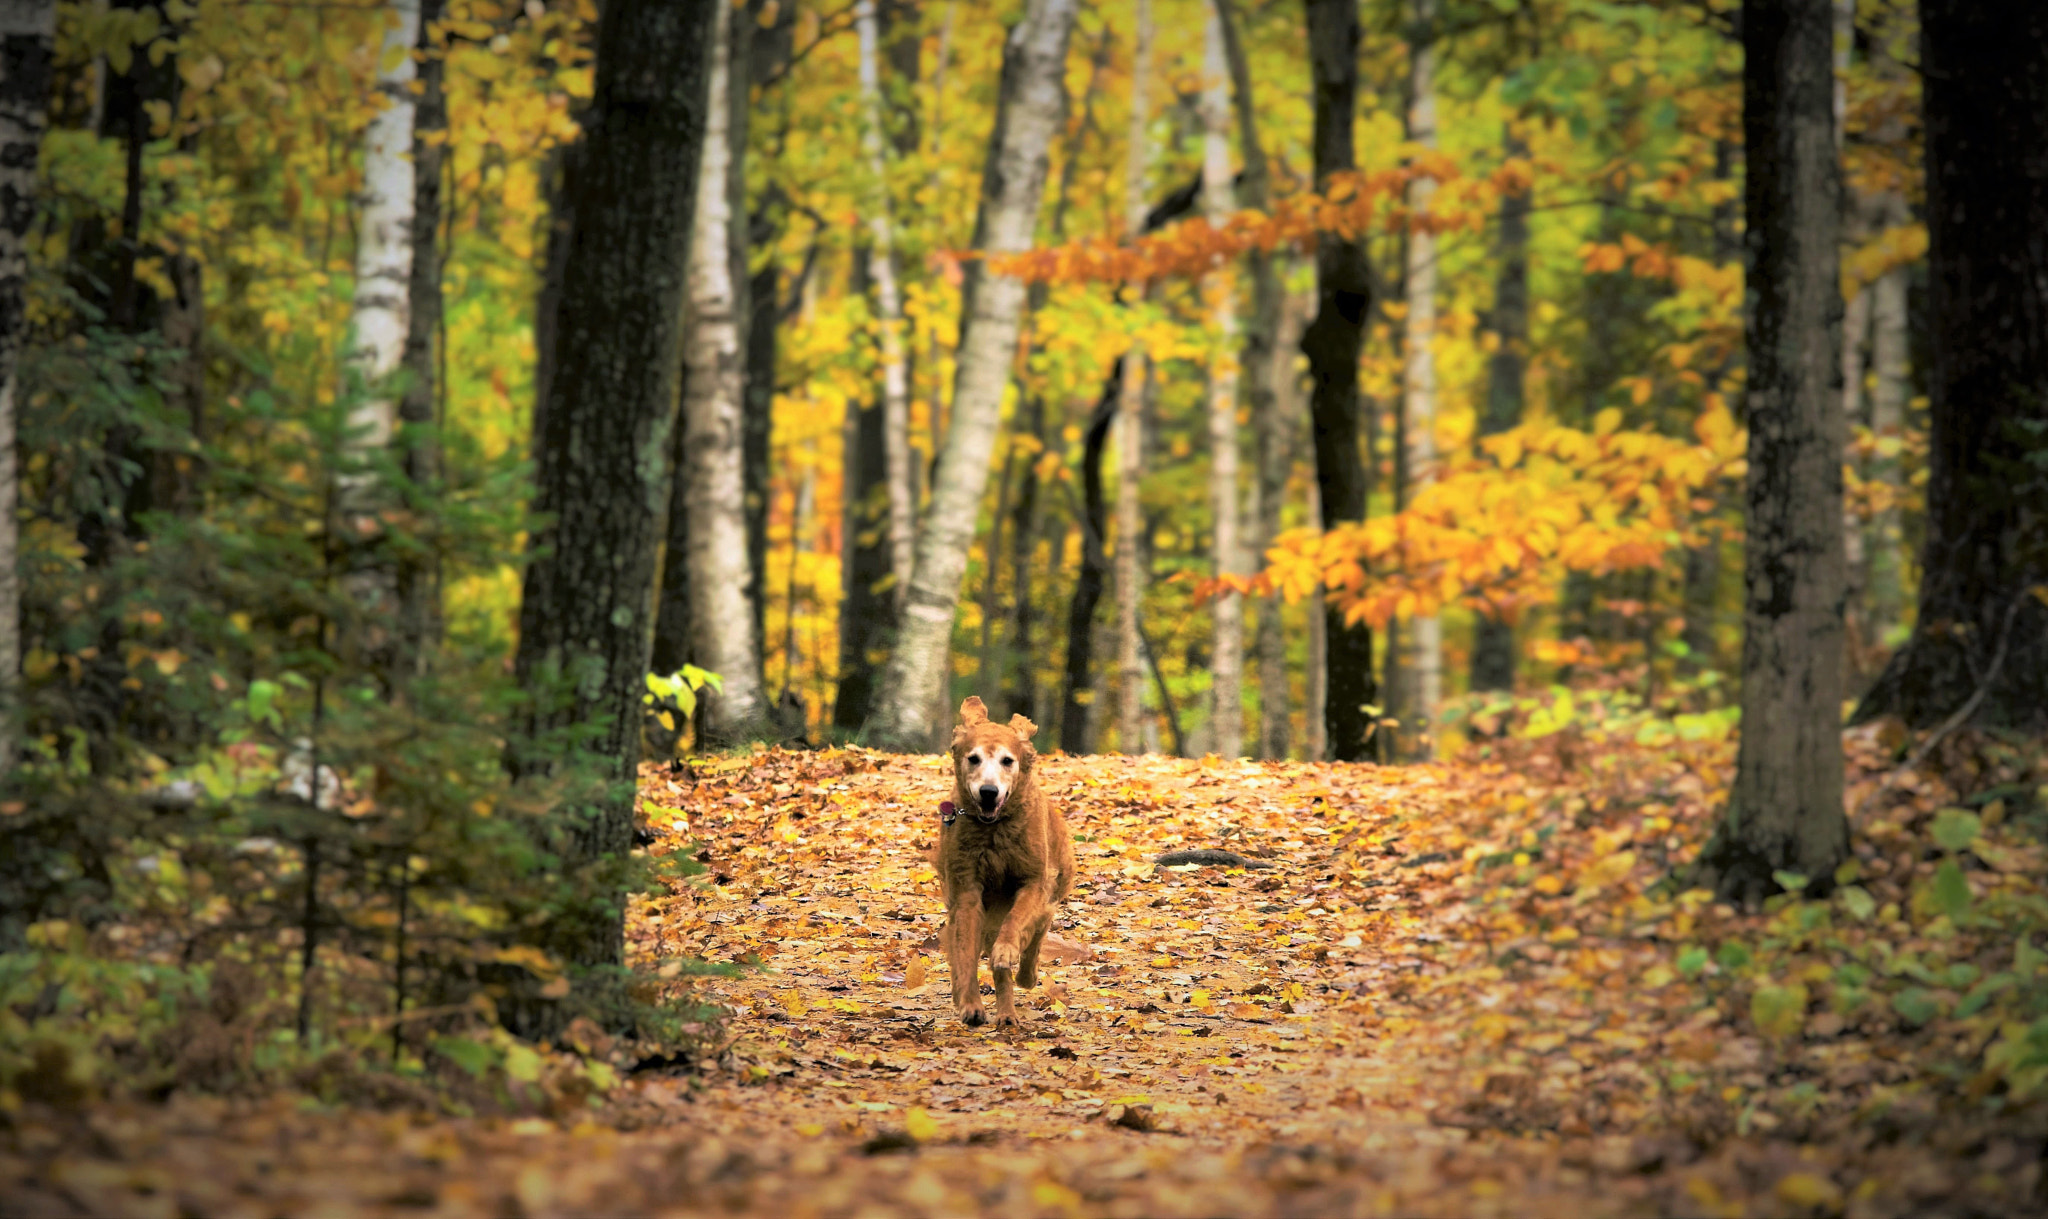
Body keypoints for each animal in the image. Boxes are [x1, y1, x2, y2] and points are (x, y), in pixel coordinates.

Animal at [937, 696, 1081, 1028]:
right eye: (973, 758)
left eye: (1007, 760)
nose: (988, 792)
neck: (994, 829)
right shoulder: (967, 891)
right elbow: (965, 952)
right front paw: (971, 1004)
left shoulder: (1033, 882)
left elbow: (1016, 921)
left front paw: (1006, 952)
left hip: (1051, 891)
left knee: (1036, 936)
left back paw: (1020, 984)